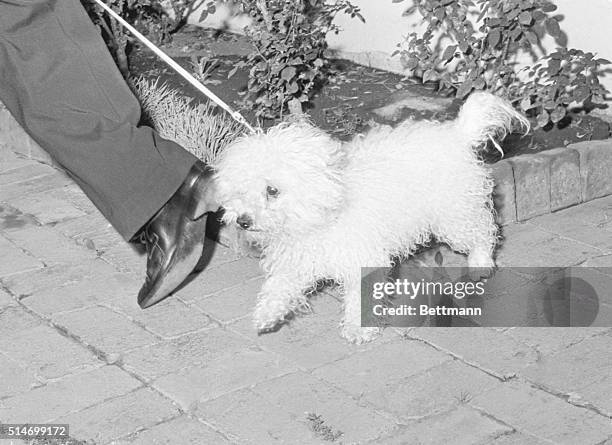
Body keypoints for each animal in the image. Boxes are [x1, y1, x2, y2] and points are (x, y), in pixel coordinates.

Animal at [214, 92, 524, 342]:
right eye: (241, 189)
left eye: (272, 190)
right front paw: (266, 314)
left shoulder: (363, 259)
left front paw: (359, 329)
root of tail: (456, 134)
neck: (324, 209)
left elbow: (360, 296)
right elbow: (278, 287)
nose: (243, 221)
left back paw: (481, 263)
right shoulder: (298, 259)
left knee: (483, 231)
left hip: (454, 215)